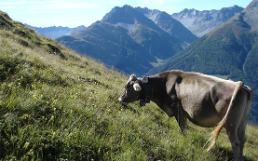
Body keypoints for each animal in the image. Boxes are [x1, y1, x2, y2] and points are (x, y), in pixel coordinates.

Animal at [118, 70, 253, 161]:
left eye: (128, 87)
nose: (120, 99)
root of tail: (241, 86)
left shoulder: (177, 110)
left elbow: (183, 128)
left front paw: (185, 140)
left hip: (231, 123)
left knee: (235, 142)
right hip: (242, 122)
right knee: (242, 140)